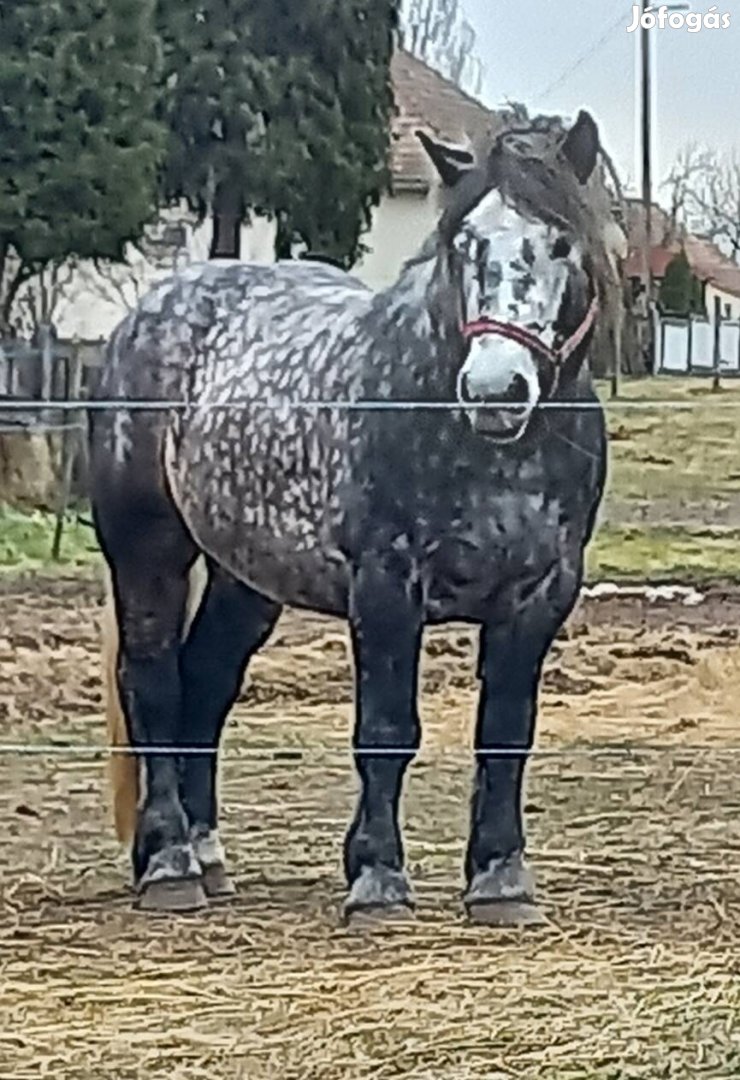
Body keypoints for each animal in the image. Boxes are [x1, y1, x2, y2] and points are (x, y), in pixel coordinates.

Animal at [92, 109, 613, 924]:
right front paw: (376, 878)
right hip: (148, 550)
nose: (495, 388)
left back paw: (208, 854)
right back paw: (170, 864)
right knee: (153, 683)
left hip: (248, 578)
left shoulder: (541, 595)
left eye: (561, 241)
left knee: (205, 684)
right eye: (461, 245)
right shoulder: (386, 584)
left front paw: (501, 880)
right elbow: (387, 730)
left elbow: (505, 733)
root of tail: (147, 313)